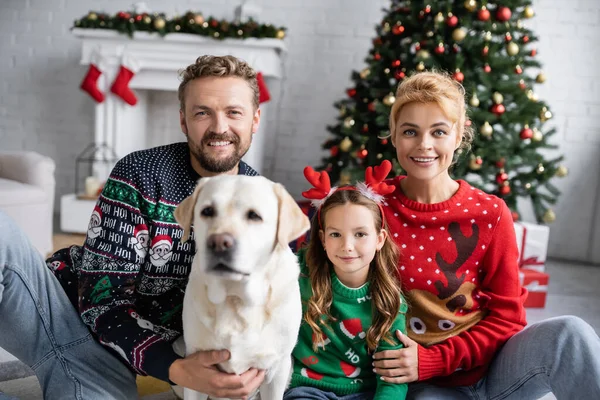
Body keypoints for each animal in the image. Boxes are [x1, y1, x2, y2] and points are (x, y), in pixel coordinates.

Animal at [171, 176, 308, 400]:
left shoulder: (276, 370)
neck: (234, 298)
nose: (218, 243)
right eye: (207, 211)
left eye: (254, 216)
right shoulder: (195, 369)